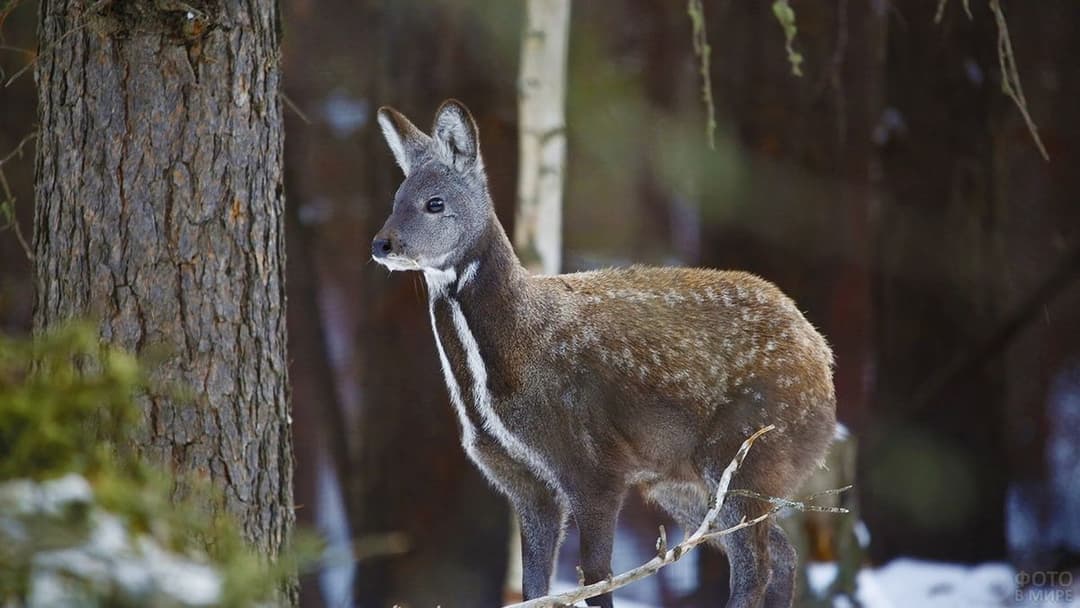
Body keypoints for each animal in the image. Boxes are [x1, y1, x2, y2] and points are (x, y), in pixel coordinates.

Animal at [371, 99, 837, 608]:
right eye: (396, 197)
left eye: (435, 202)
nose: (382, 244)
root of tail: (823, 358)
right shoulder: (523, 482)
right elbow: (535, 588)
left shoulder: (593, 463)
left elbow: (595, 578)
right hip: (680, 480)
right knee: (781, 553)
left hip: (748, 447)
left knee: (757, 562)